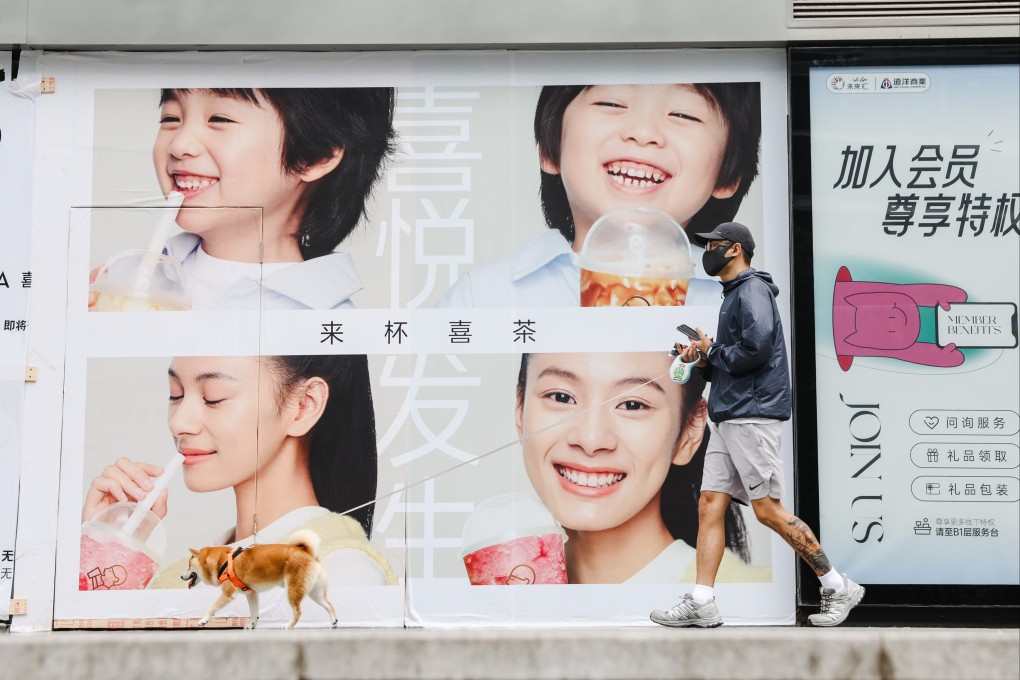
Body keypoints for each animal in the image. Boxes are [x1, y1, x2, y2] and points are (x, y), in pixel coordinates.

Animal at [182, 530, 338, 632]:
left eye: (189, 566)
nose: (181, 577)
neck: (223, 562)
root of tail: (308, 552)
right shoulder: (251, 593)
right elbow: (254, 612)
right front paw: (252, 625)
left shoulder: (228, 593)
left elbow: (212, 608)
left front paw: (203, 620)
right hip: (314, 592)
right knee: (329, 605)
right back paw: (334, 622)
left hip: (293, 590)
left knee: (298, 612)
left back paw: (288, 626)